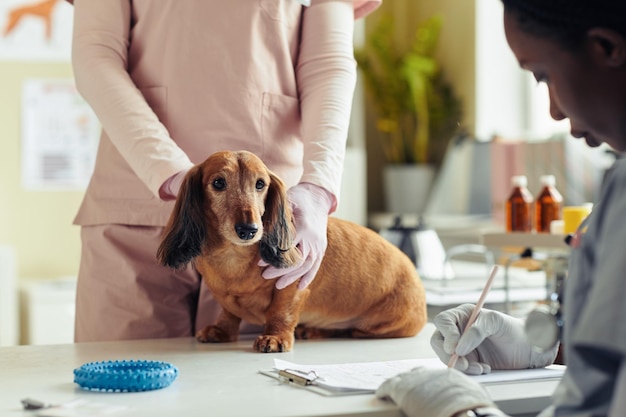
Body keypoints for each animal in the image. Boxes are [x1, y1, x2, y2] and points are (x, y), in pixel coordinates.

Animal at [158, 150, 426, 352]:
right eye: (218, 183)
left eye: (260, 184)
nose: (249, 230)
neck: (233, 257)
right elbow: (229, 311)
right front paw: (222, 330)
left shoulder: (294, 284)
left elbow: (280, 311)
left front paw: (275, 337)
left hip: (378, 327)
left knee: (353, 331)